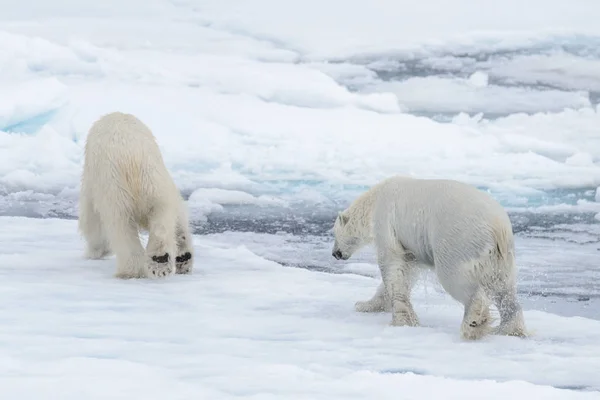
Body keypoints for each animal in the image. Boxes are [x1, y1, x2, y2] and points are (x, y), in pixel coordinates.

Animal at [78, 111, 193, 280]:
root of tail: (131, 157)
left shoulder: (91, 180)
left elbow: (91, 220)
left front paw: (95, 251)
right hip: (152, 181)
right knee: (161, 214)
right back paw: (161, 260)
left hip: (114, 187)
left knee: (120, 225)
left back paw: (129, 272)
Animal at [330, 176, 528, 340]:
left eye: (334, 234)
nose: (335, 253)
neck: (375, 199)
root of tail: (498, 227)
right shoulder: (412, 247)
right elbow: (408, 271)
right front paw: (365, 305)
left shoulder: (386, 222)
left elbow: (391, 265)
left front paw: (401, 320)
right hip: (502, 257)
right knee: (504, 288)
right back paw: (510, 328)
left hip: (457, 240)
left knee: (457, 279)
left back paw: (472, 323)